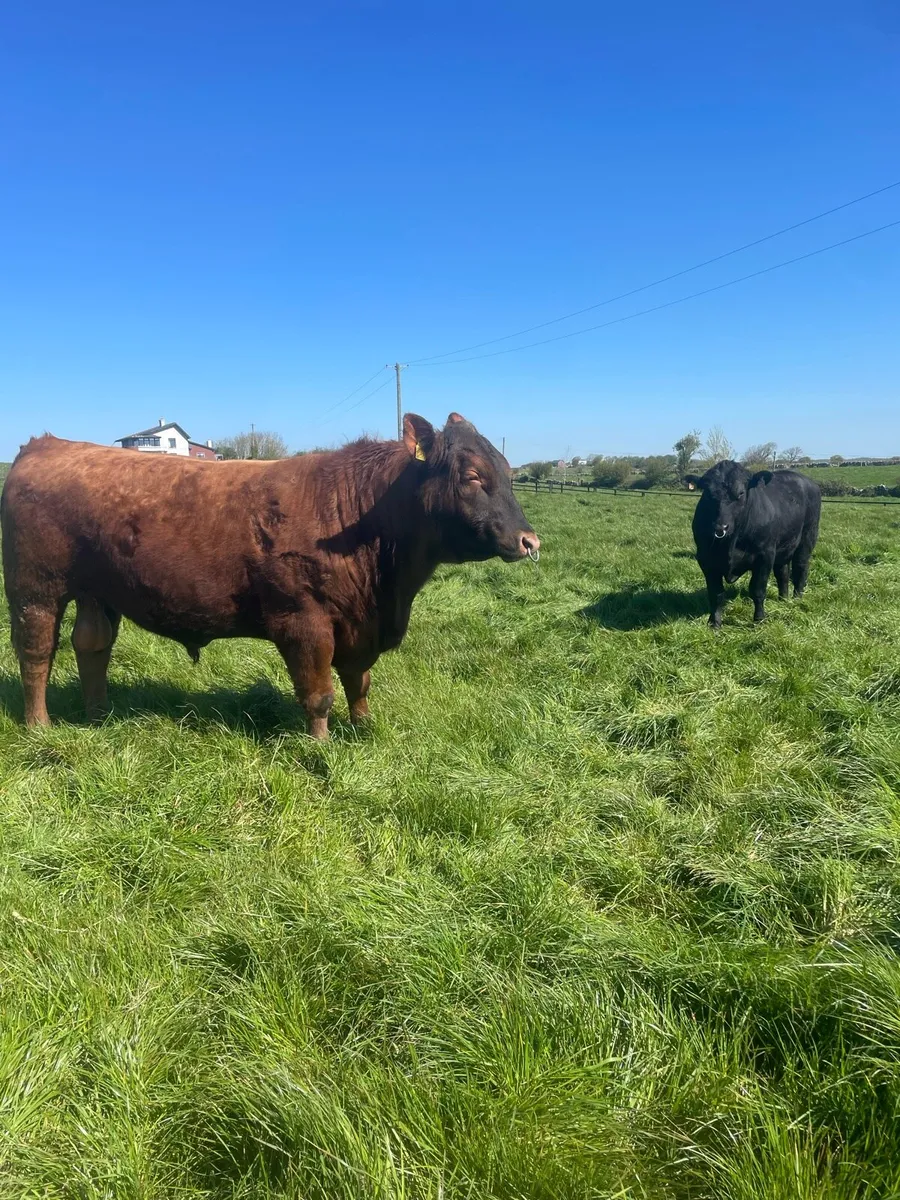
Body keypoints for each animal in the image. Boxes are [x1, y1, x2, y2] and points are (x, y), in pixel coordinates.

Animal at [1, 413, 540, 737]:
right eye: (472, 476)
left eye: (508, 470)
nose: (529, 541)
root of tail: (46, 445)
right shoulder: (304, 622)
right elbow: (319, 694)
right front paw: (321, 747)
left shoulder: (358, 624)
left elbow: (359, 682)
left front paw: (363, 728)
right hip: (34, 587)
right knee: (36, 652)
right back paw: (39, 726)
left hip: (97, 590)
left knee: (92, 645)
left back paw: (99, 716)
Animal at [684, 460, 821, 627]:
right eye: (708, 494)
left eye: (741, 493)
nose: (720, 527)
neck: (730, 543)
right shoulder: (705, 559)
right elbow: (715, 593)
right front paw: (714, 623)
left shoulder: (765, 556)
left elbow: (758, 590)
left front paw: (759, 619)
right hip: (784, 547)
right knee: (782, 572)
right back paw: (783, 599)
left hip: (807, 538)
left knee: (800, 567)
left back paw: (797, 598)